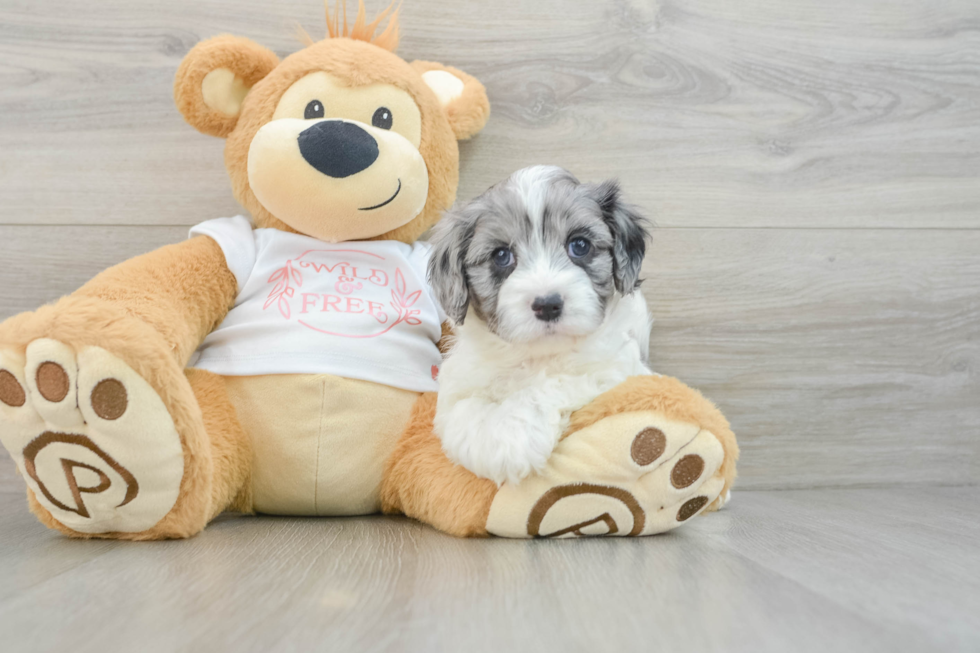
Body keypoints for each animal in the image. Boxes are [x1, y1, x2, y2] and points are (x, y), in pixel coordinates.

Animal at [426, 167, 652, 484]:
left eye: (579, 245)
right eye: (501, 255)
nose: (547, 304)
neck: (535, 354)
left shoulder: (615, 370)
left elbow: (554, 382)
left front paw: (515, 436)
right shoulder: (457, 386)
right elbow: (463, 412)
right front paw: (494, 446)